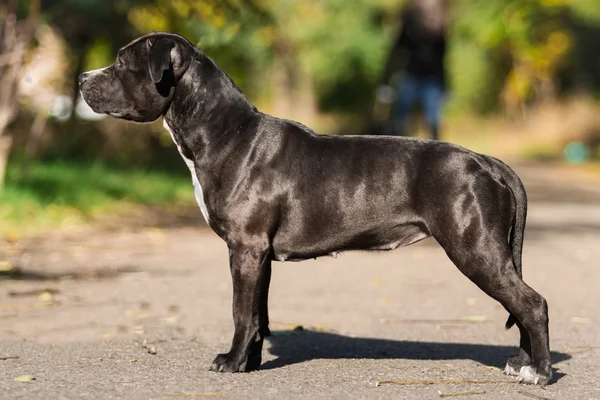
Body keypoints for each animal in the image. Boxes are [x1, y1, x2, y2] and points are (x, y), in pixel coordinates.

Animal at [79, 32, 552, 384]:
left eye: (122, 63)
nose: (82, 78)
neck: (222, 131)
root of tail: (486, 161)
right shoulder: (258, 254)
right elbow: (258, 313)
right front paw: (250, 363)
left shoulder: (245, 248)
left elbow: (240, 311)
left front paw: (230, 363)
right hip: (490, 252)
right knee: (519, 305)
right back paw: (522, 365)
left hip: (475, 249)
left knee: (532, 304)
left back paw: (540, 373)